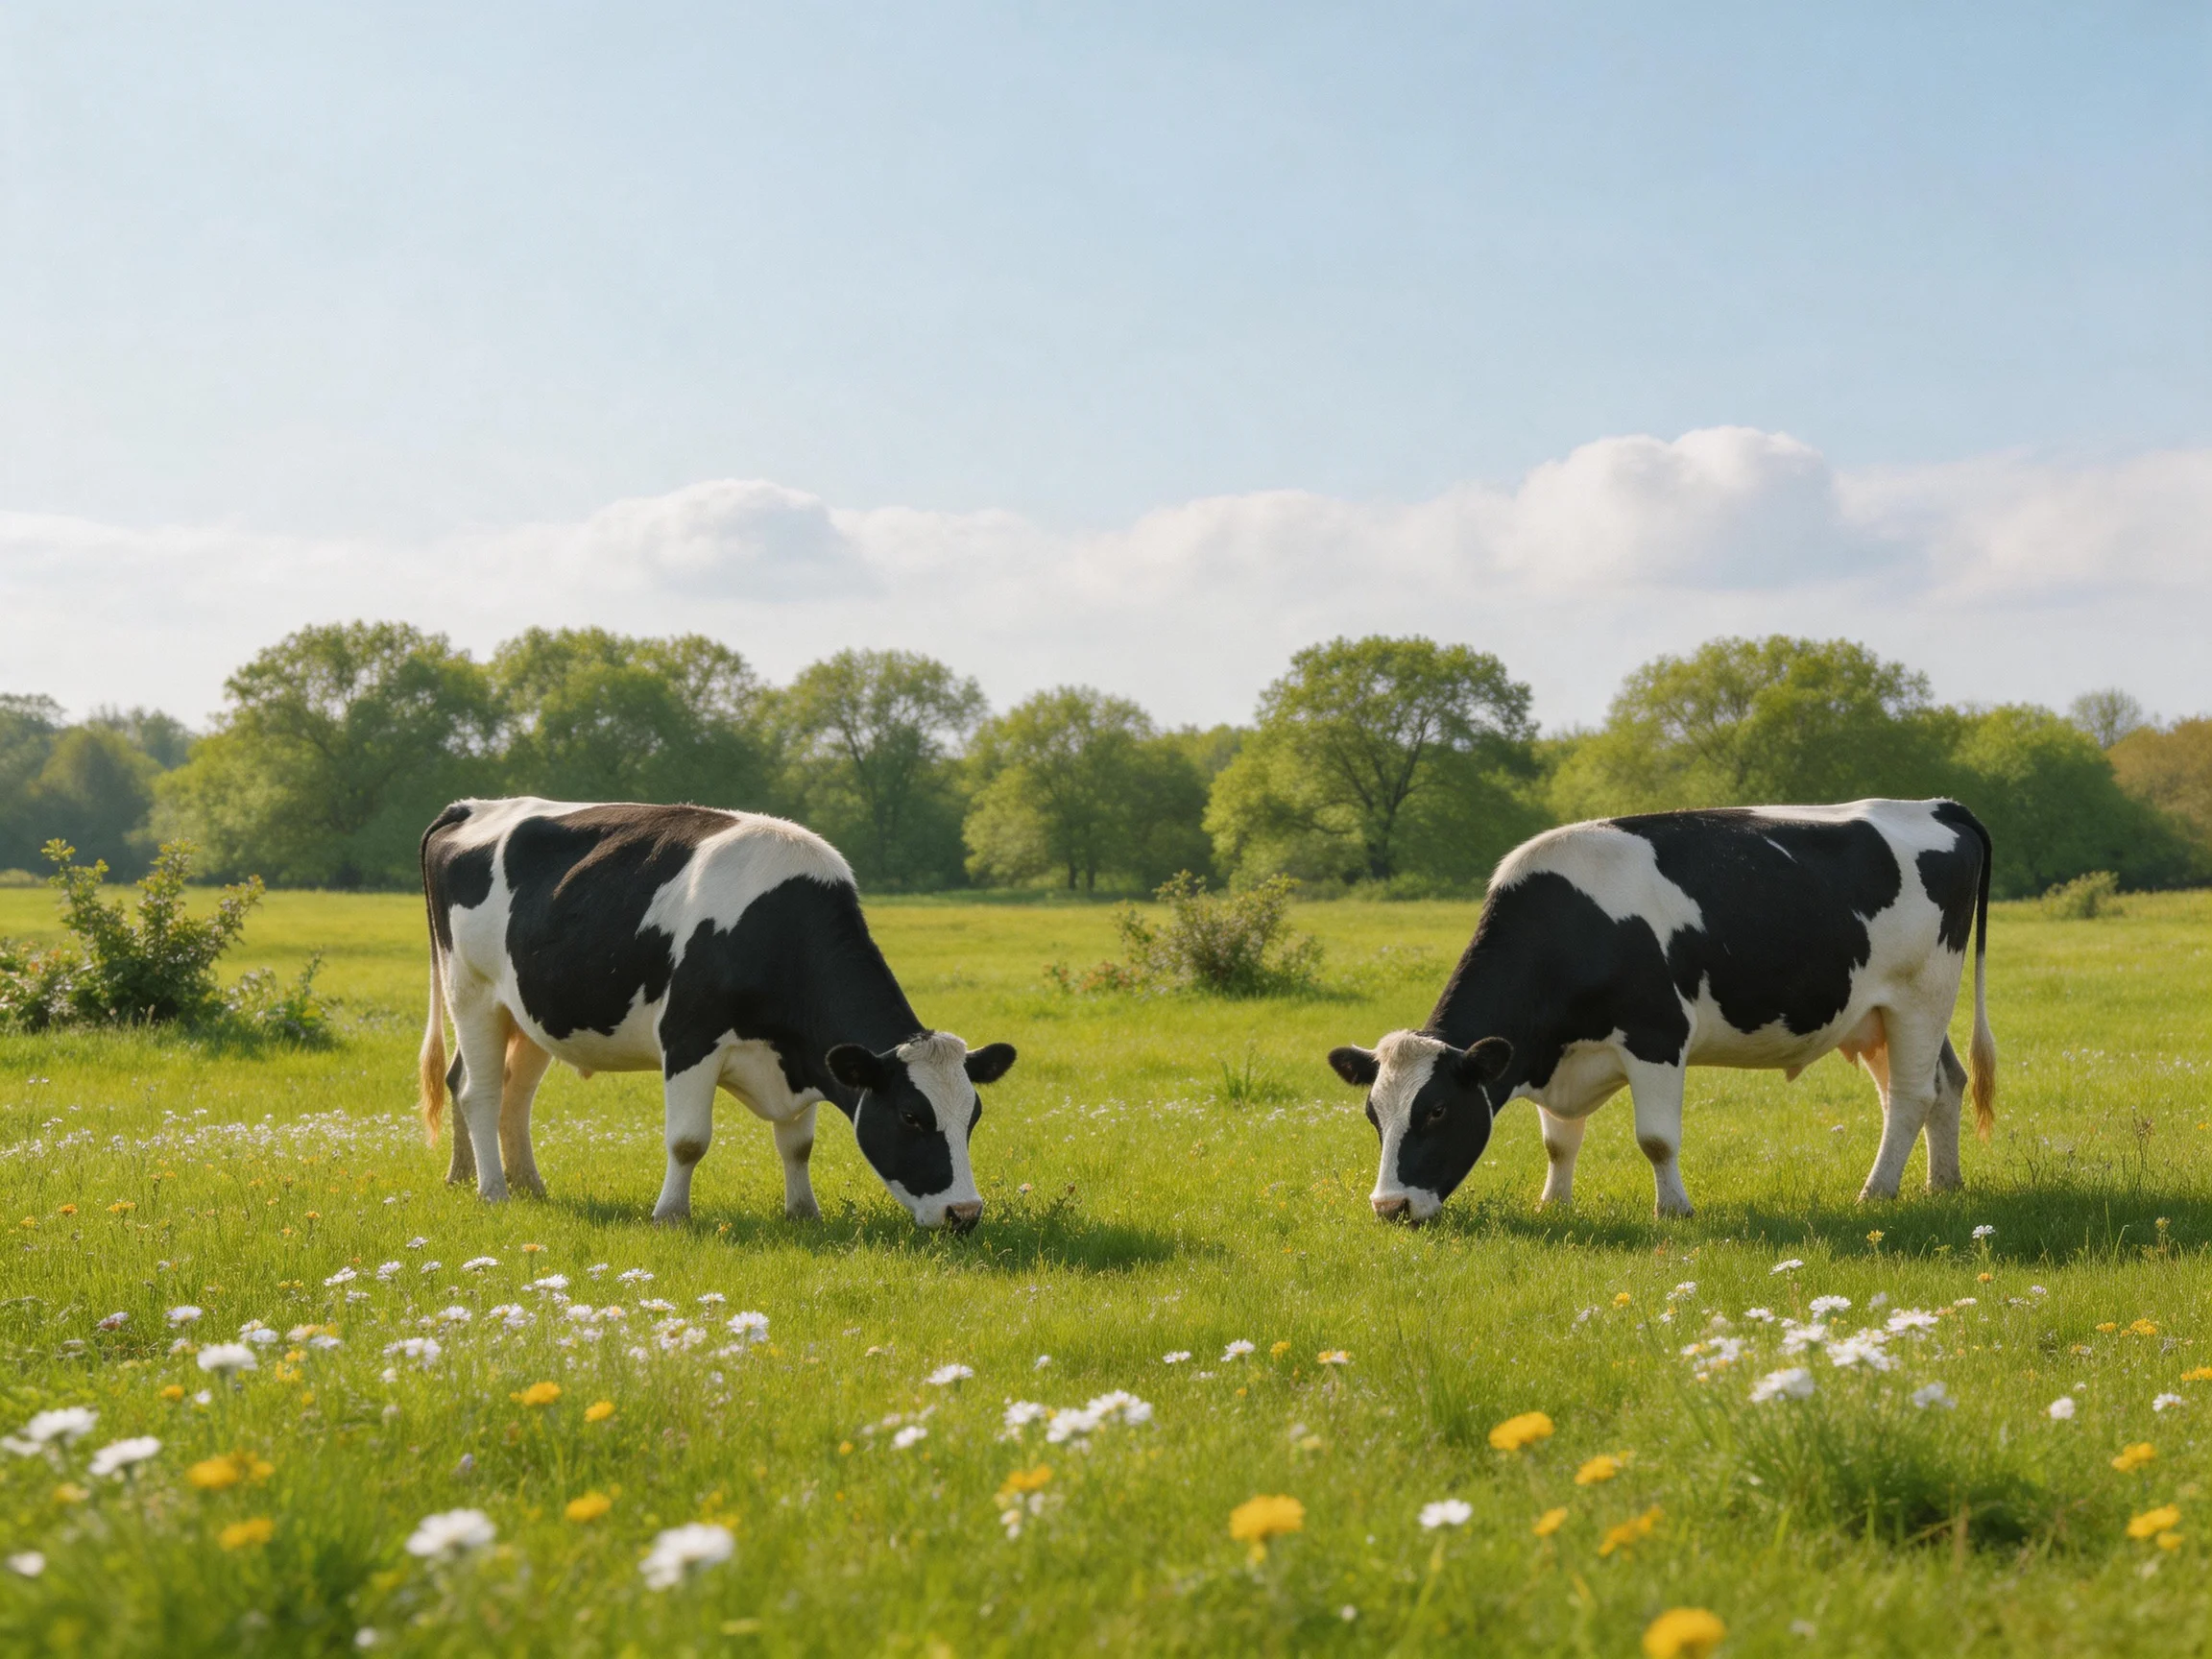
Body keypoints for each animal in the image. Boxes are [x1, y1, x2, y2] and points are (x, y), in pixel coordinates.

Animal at [416, 797, 1016, 1231]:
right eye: (912, 1116)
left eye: (973, 1116)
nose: (965, 1214)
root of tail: (471, 807)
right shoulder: (689, 1039)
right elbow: (688, 1140)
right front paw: (670, 1215)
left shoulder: (803, 1056)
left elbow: (797, 1144)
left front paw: (804, 1214)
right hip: (471, 992)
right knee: (478, 1091)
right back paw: (493, 1191)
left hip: (531, 1011)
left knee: (511, 1093)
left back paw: (514, 1184)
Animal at [1326, 799, 1996, 1221]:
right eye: (1373, 1115)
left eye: (1437, 1110)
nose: (1389, 1207)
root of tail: (1936, 805)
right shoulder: (1551, 1054)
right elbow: (1559, 1142)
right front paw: (1554, 1204)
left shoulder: (1656, 1035)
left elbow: (1655, 1140)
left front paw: (1673, 1210)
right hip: (1875, 1015)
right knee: (1944, 1084)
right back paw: (1942, 1184)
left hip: (1921, 995)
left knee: (1910, 1096)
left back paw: (1876, 1193)